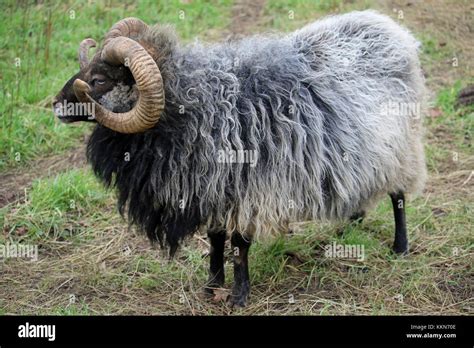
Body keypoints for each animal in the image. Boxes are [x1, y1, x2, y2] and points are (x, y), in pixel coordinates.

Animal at [53, 9, 428, 306]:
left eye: (98, 80)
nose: (55, 104)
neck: (192, 108)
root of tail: (389, 27)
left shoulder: (251, 190)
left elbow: (239, 244)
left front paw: (238, 295)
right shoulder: (214, 187)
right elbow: (216, 238)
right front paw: (211, 285)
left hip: (402, 147)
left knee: (398, 195)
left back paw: (400, 246)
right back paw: (352, 218)